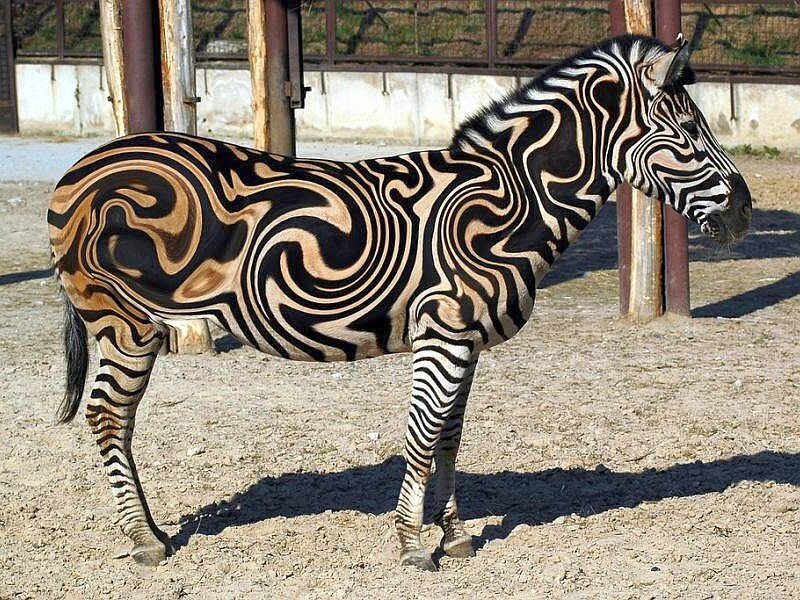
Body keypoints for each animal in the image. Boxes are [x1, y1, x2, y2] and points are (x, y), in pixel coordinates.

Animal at [48, 34, 751, 571]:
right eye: (688, 131)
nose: (744, 213)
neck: (515, 195)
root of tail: (82, 166)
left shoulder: (466, 339)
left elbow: (450, 438)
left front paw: (455, 536)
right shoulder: (441, 331)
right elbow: (420, 438)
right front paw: (413, 545)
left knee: (113, 418)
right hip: (126, 321)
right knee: (108, 417)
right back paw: (145, 541)